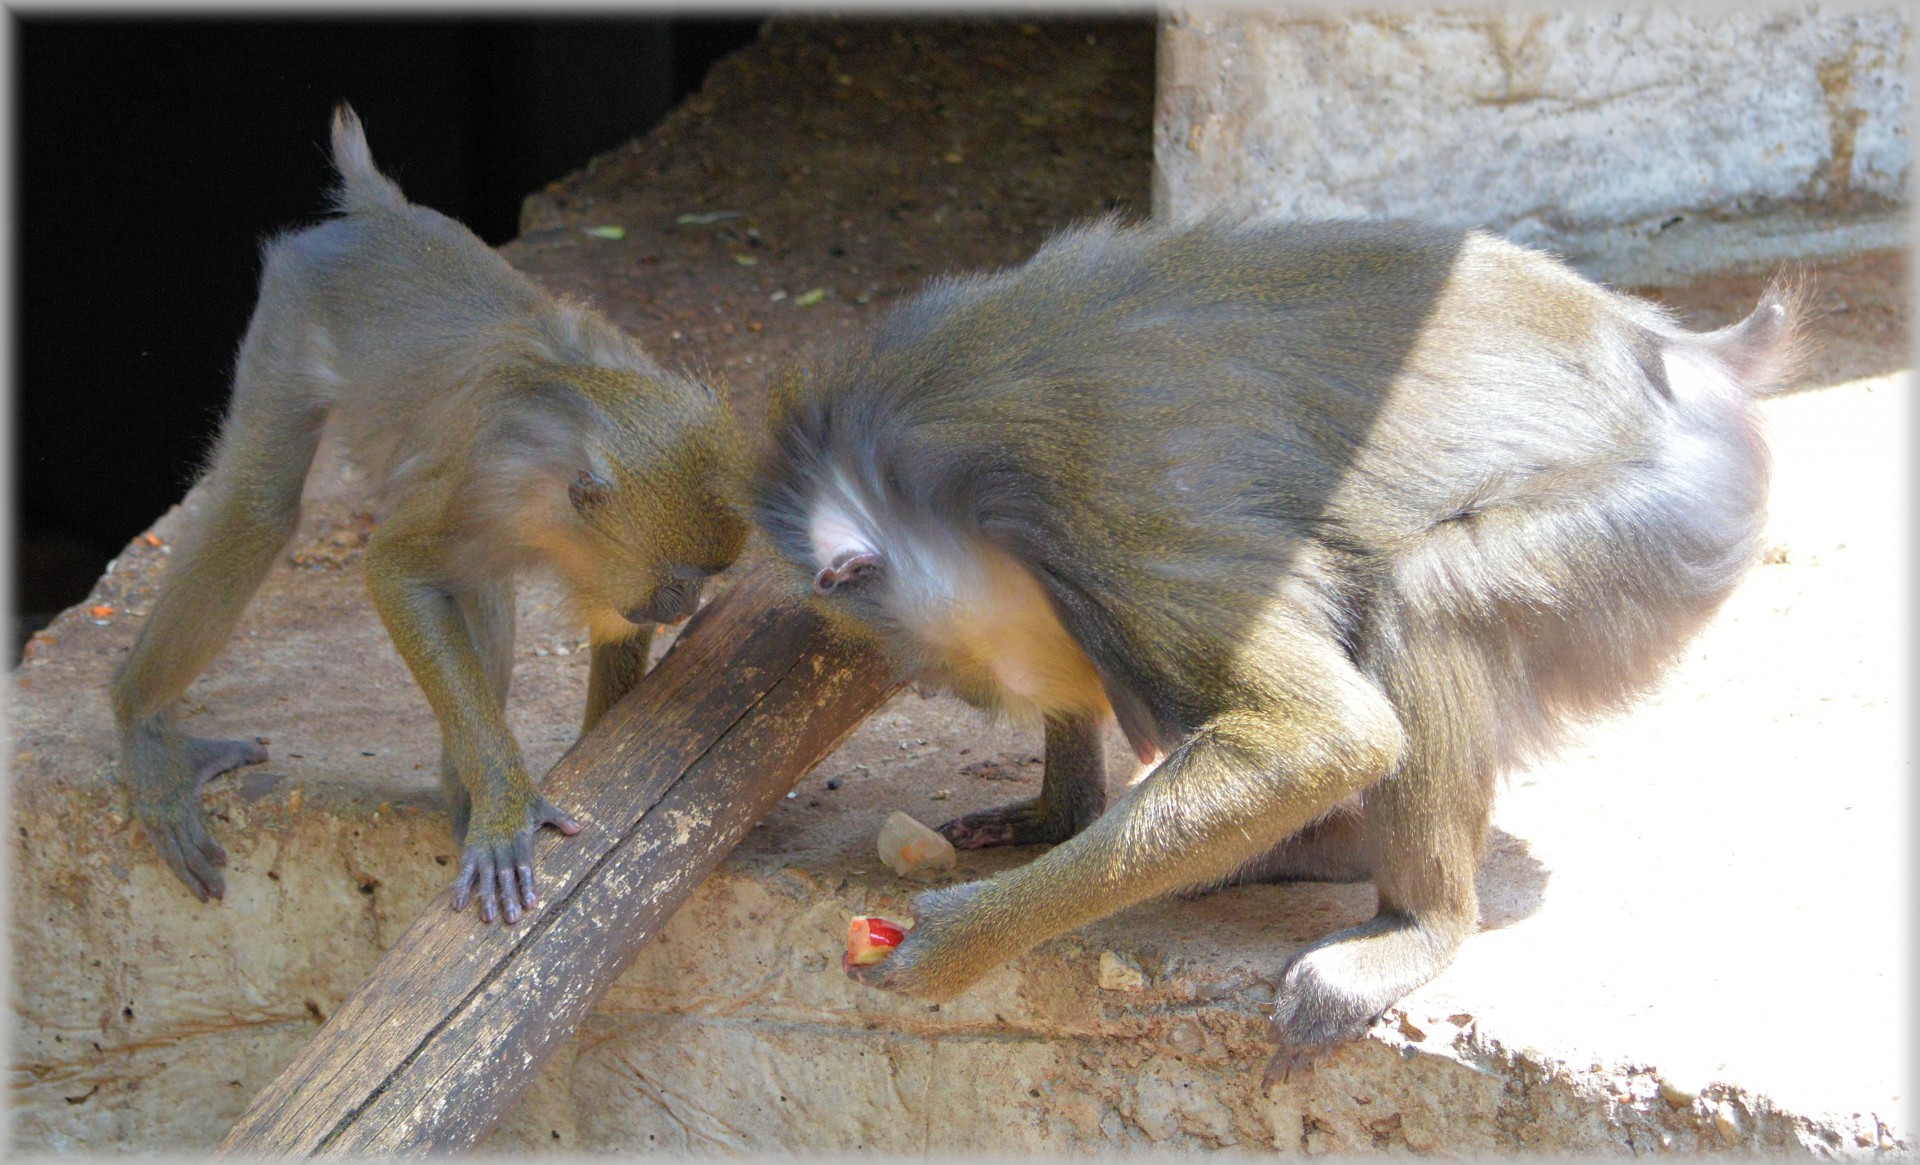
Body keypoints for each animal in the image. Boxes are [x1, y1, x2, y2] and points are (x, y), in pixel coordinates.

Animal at [105, 109, 748, 928]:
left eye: (702, 582)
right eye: (681, 581)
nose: (686, 607)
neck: (567, 418)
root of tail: (382, 211)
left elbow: (607, 626)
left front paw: (601, 751)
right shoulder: (478, 486)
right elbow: (394, 571)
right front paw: (506, 805)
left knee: (480, 589)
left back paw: (456, 793)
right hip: (296, 301)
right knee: (260, 505)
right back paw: (141, 718)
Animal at [756, 216, 1804, 1074]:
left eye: (952, 666)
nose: (974, 694)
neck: (936, 453)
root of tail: (1679, 349)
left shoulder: (1123, 521)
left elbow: (1327, 737)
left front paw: (959, 939)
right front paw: (1055, 811)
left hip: (1676, 515)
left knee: (1434, 592)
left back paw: (1418, 923)